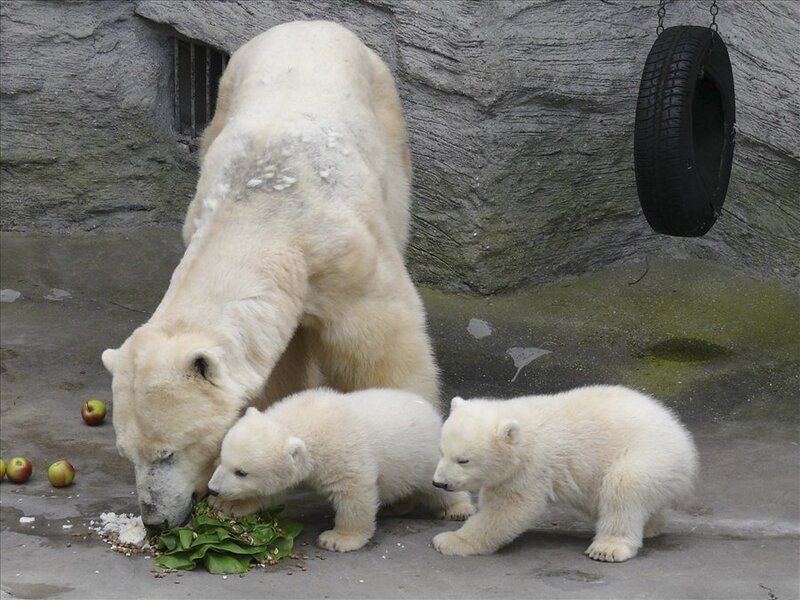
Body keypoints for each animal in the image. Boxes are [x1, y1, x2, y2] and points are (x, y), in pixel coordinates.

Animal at [100, 21, 439, 529]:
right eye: (127, 453)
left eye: (168, 452)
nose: (155, 520)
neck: (262, 207)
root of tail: (309, 23)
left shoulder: (341, 254)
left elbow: (380, 341)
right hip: (223, 97)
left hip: (386, 124)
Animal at [206, 388, 475, 552]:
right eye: (222, 460)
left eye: (241, 472)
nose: (213, 489)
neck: (308, 416)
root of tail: (431, 411)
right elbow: (272, 492)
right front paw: (228, 506)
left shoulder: (341, 449)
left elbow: (353, 492)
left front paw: (338, 539)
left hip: (423, 456)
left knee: (436, 486)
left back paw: (457, 509)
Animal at [431, 385, 698, 562]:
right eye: (441, 450)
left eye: (463, 460)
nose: (439, 483)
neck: (524, 434)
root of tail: (684, 440)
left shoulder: (532, 467)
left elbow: (508, 509)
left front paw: (450, 541)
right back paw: (651, 526)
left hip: (652, 454)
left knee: (624, 485)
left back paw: (608, 548)